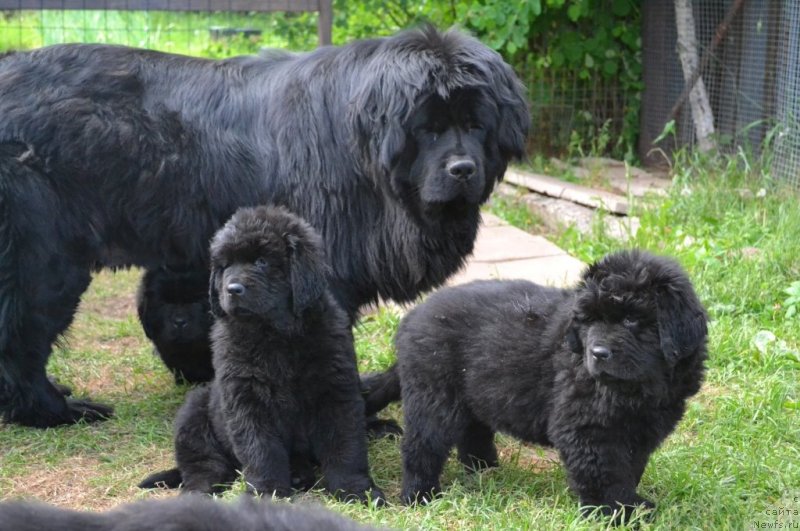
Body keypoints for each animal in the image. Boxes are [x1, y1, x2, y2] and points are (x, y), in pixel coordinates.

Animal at [0, 26, 528, 432]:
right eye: (428, 129)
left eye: (477, 125)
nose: (462, 169)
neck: (363, 150)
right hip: (43, 260)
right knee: (21, 336)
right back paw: (54, 410)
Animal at [141, 206, 384, 504]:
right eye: (225, 266)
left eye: (261, 262)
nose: (232, 289)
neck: (274, 335)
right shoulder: (247, 399)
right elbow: (261, 450)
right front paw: (266, 493)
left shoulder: (335, 391)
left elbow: (345, 446)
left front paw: (356, 490)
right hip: (195, 414)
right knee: (203, 465)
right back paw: (198, 492)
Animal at [362, 250, 708, 524]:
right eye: (590, 320)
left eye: (631, 321)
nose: (597, 353)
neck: (638, 387)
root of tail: (411, 319)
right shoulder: (585, 428)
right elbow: (604, 472)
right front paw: (614, 513)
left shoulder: (641, 429)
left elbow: (630, 467)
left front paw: (630, 505)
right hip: (434, 395)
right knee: (422, 444)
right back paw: (421, 495)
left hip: (472, 389)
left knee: (473, 430)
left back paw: (485, 468)